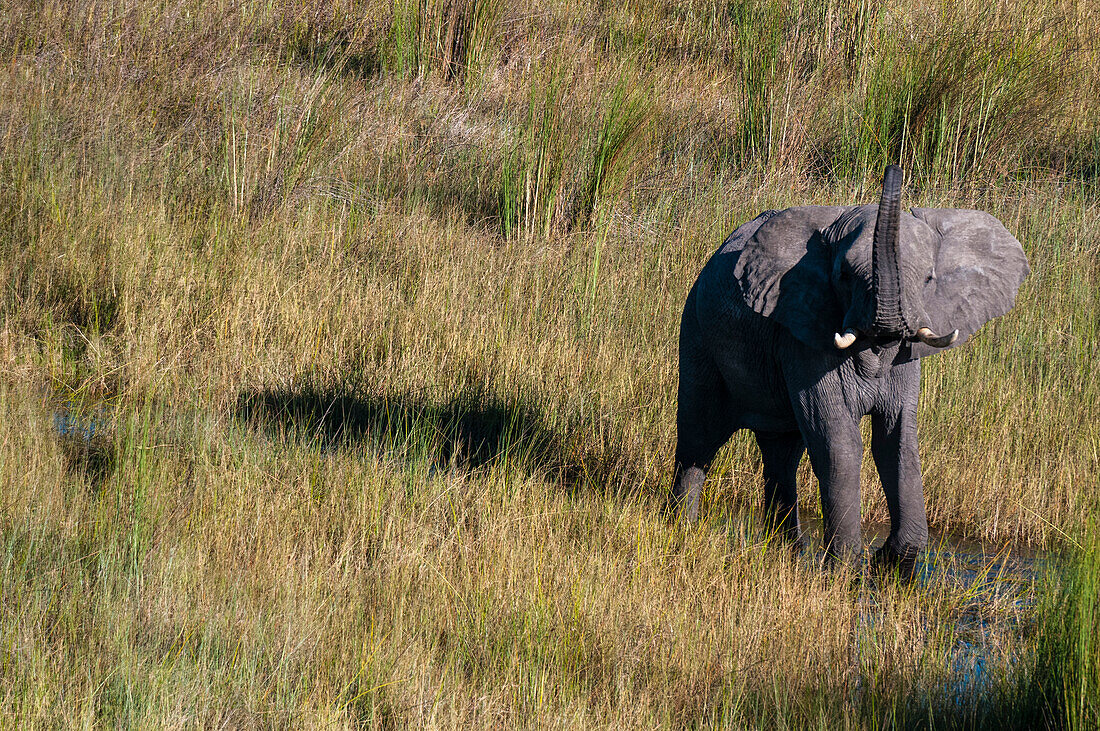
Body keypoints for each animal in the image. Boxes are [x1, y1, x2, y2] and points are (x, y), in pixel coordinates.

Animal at [668, 167, 1029, 576]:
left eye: (928, 279)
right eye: (843, 275)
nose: (893, 170)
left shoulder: (904, 357)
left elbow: (897, 441)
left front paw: (890, 560)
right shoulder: (805, 335)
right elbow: (839, 441)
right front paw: (845, 568)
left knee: (781, 452)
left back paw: (787, 552)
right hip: (697, 334)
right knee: (699, 437)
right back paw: (680, 531)